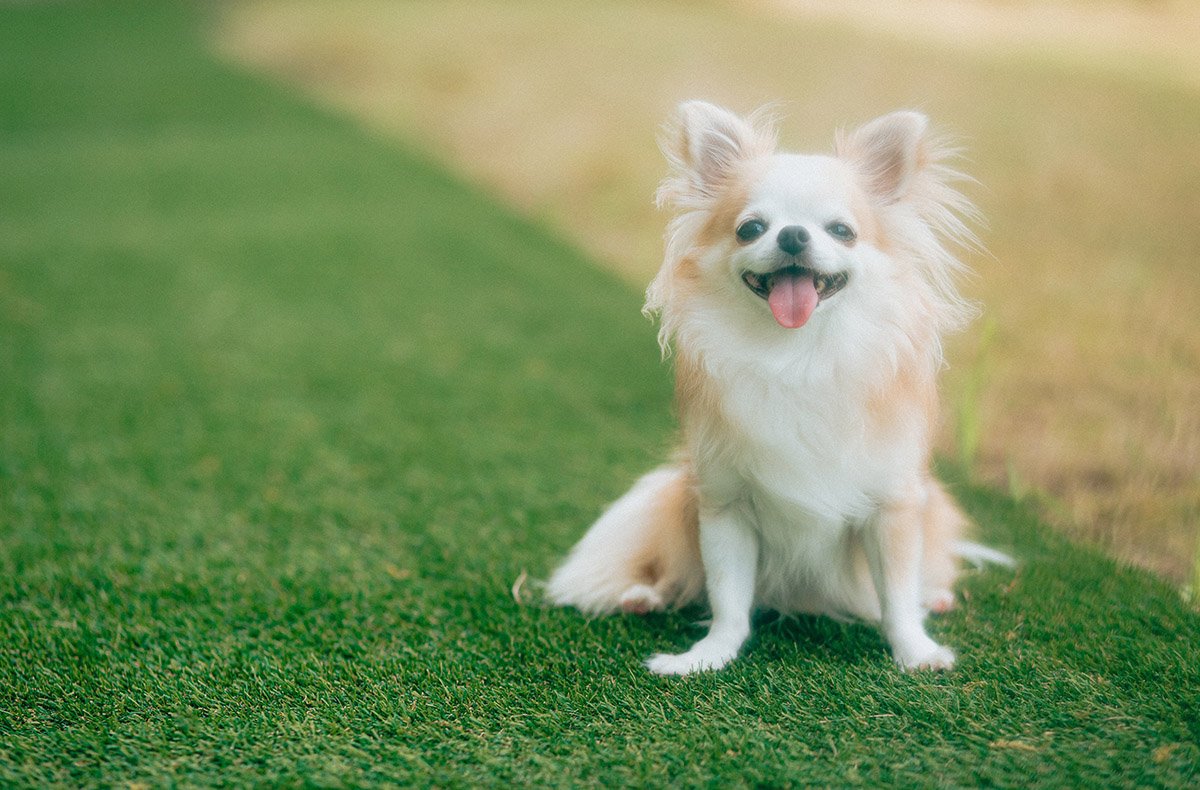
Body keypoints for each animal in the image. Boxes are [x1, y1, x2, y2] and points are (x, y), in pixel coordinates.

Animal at [549, 101, 1008, 672]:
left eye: (841, 230)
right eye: (750, 229)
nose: (792, 235)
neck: (797, 356)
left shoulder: (893, 507)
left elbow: (899, 595)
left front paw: (916, 652)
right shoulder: (724, 507)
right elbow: (727, 597)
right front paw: (707, 656)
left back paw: (937, 595)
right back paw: (644, 595)